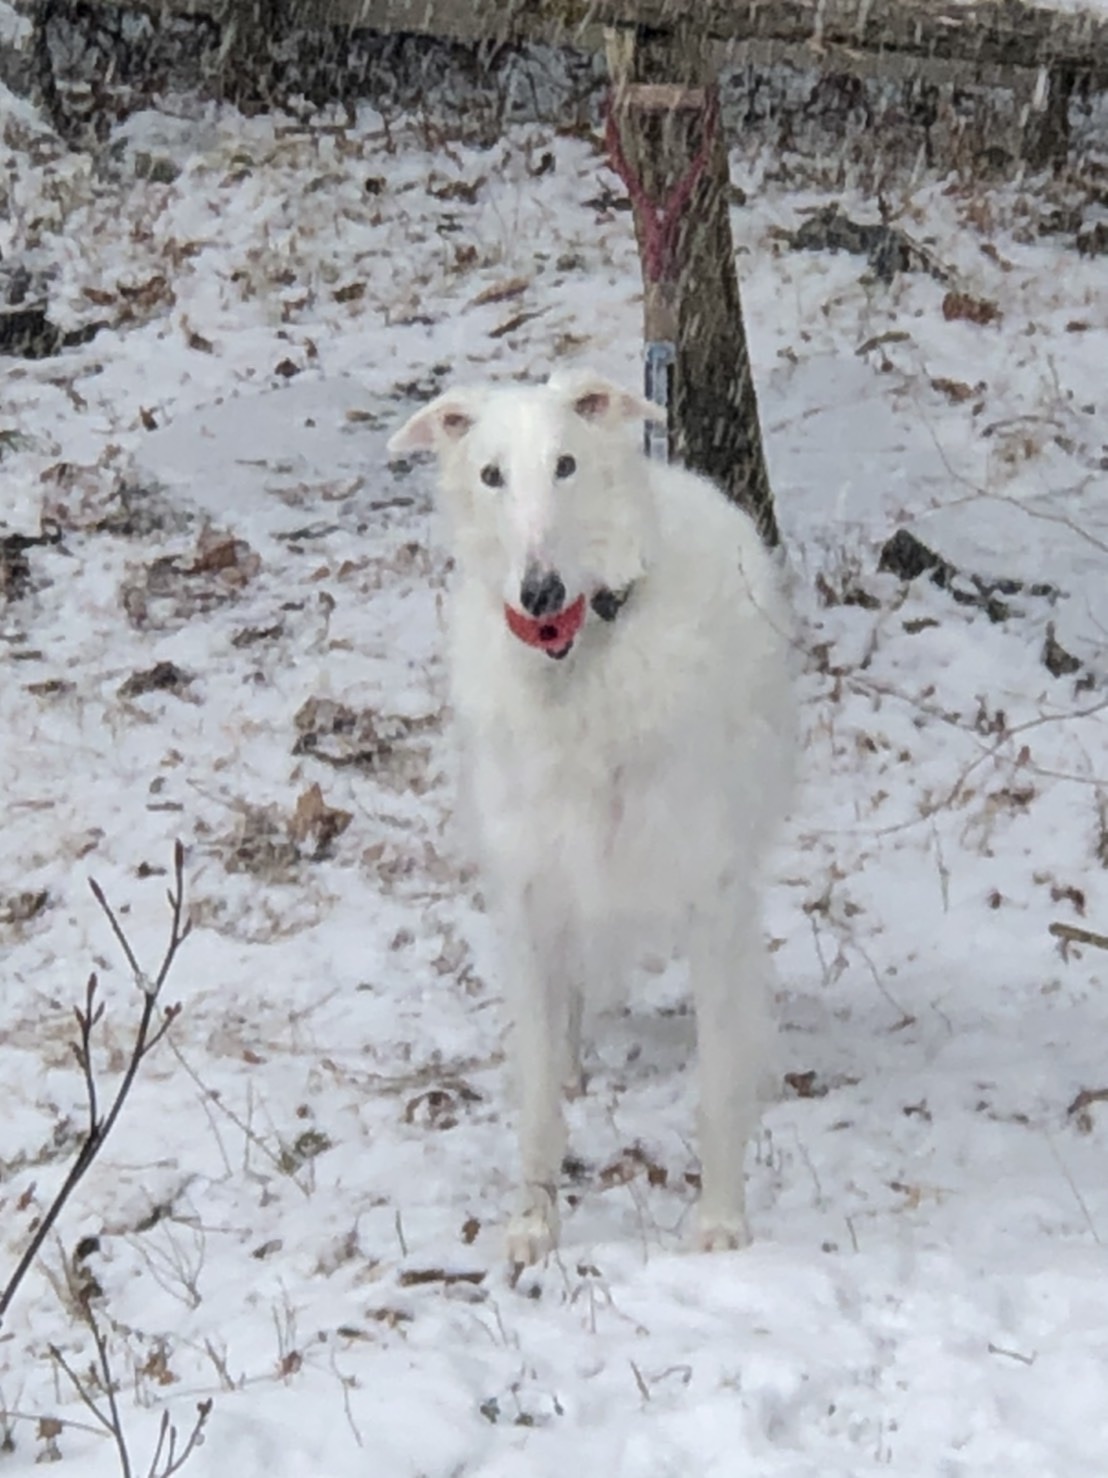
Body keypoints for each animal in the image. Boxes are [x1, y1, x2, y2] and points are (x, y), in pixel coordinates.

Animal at [390, 369, 797, 1259]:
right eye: (491, 475)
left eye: (567, 464)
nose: (538, 593)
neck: (579, 663)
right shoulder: (532, 886)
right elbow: (539, 1096)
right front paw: (533, 1227)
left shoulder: (712, 889)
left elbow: (717, 1085)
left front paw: (721, 1223)